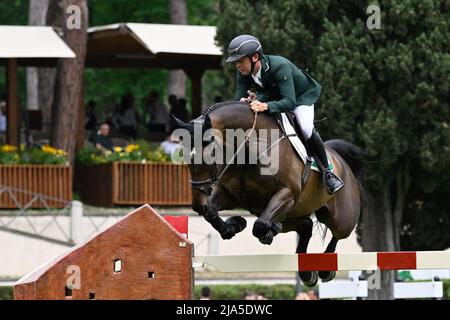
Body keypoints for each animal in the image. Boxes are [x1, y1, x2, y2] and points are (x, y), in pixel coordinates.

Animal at [173, 100, 366, 284]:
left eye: (212, 152)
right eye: (184, 155)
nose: (198, 205)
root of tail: (341, 161)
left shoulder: (287, 194)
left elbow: (259, 226)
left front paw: (261, 231)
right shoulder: (230, 194)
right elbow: (212, 213)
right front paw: (234, 225)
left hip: (340, 217)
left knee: (338, 234)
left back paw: (325, 269)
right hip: (294, 215)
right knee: (306, 227)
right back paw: (306, 273)